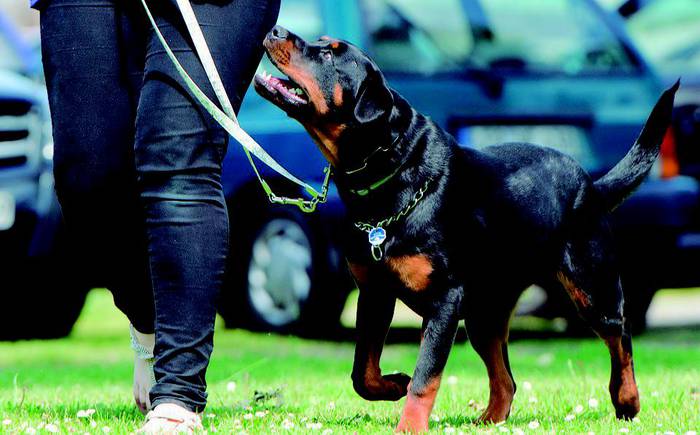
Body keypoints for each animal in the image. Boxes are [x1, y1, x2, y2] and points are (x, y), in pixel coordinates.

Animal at [254, 26, 680, 432]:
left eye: (328, 54)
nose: (276, 30)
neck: (390, 172)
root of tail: (592, 186)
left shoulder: (445, 300)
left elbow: (426, 376)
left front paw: (409, 426)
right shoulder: (374, 294)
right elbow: (363, 372)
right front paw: (394, 384)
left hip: (591, 285)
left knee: (620, 337)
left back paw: (627, 400)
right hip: (485, 312)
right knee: (506, 380)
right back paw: (488, 420)